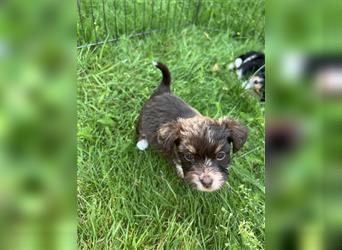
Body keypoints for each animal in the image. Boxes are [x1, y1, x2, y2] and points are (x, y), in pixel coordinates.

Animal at [138, 62, 247, 191]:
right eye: (189, 156)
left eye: (221, 155)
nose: (207, 182)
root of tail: (163, 90)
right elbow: (178, 163)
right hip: (142, 118)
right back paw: (142, 143)